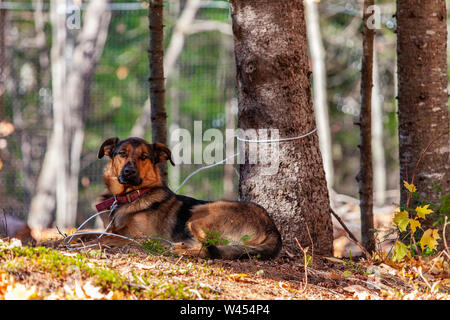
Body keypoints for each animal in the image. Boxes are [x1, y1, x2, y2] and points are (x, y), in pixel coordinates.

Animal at [95, 136, 282, 258]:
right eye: (122, 153)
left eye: (144, 157)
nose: (129, 172)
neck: (129, 196)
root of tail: (272, 227)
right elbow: (97, 235)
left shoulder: (140, 237)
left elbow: (103, 238)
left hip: (200, 213)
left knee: (208, 249)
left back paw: (175, 249)